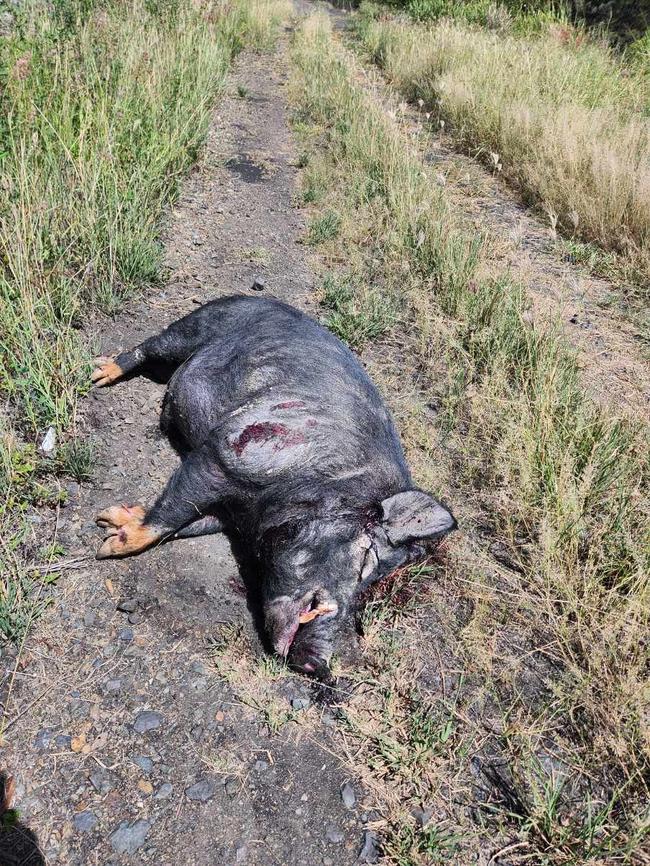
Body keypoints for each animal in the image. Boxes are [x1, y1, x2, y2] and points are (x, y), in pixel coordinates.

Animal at [92, 296, 456, 676]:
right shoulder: (225, 455)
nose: (318, 664)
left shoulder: (228, 516)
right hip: (194, 326)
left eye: (372, 583)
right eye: (365, 564)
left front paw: (112, 521)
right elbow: (171, 512)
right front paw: (107, 544)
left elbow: (184, 524)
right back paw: (97, 374)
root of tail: (259, 298)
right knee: (150, 346)